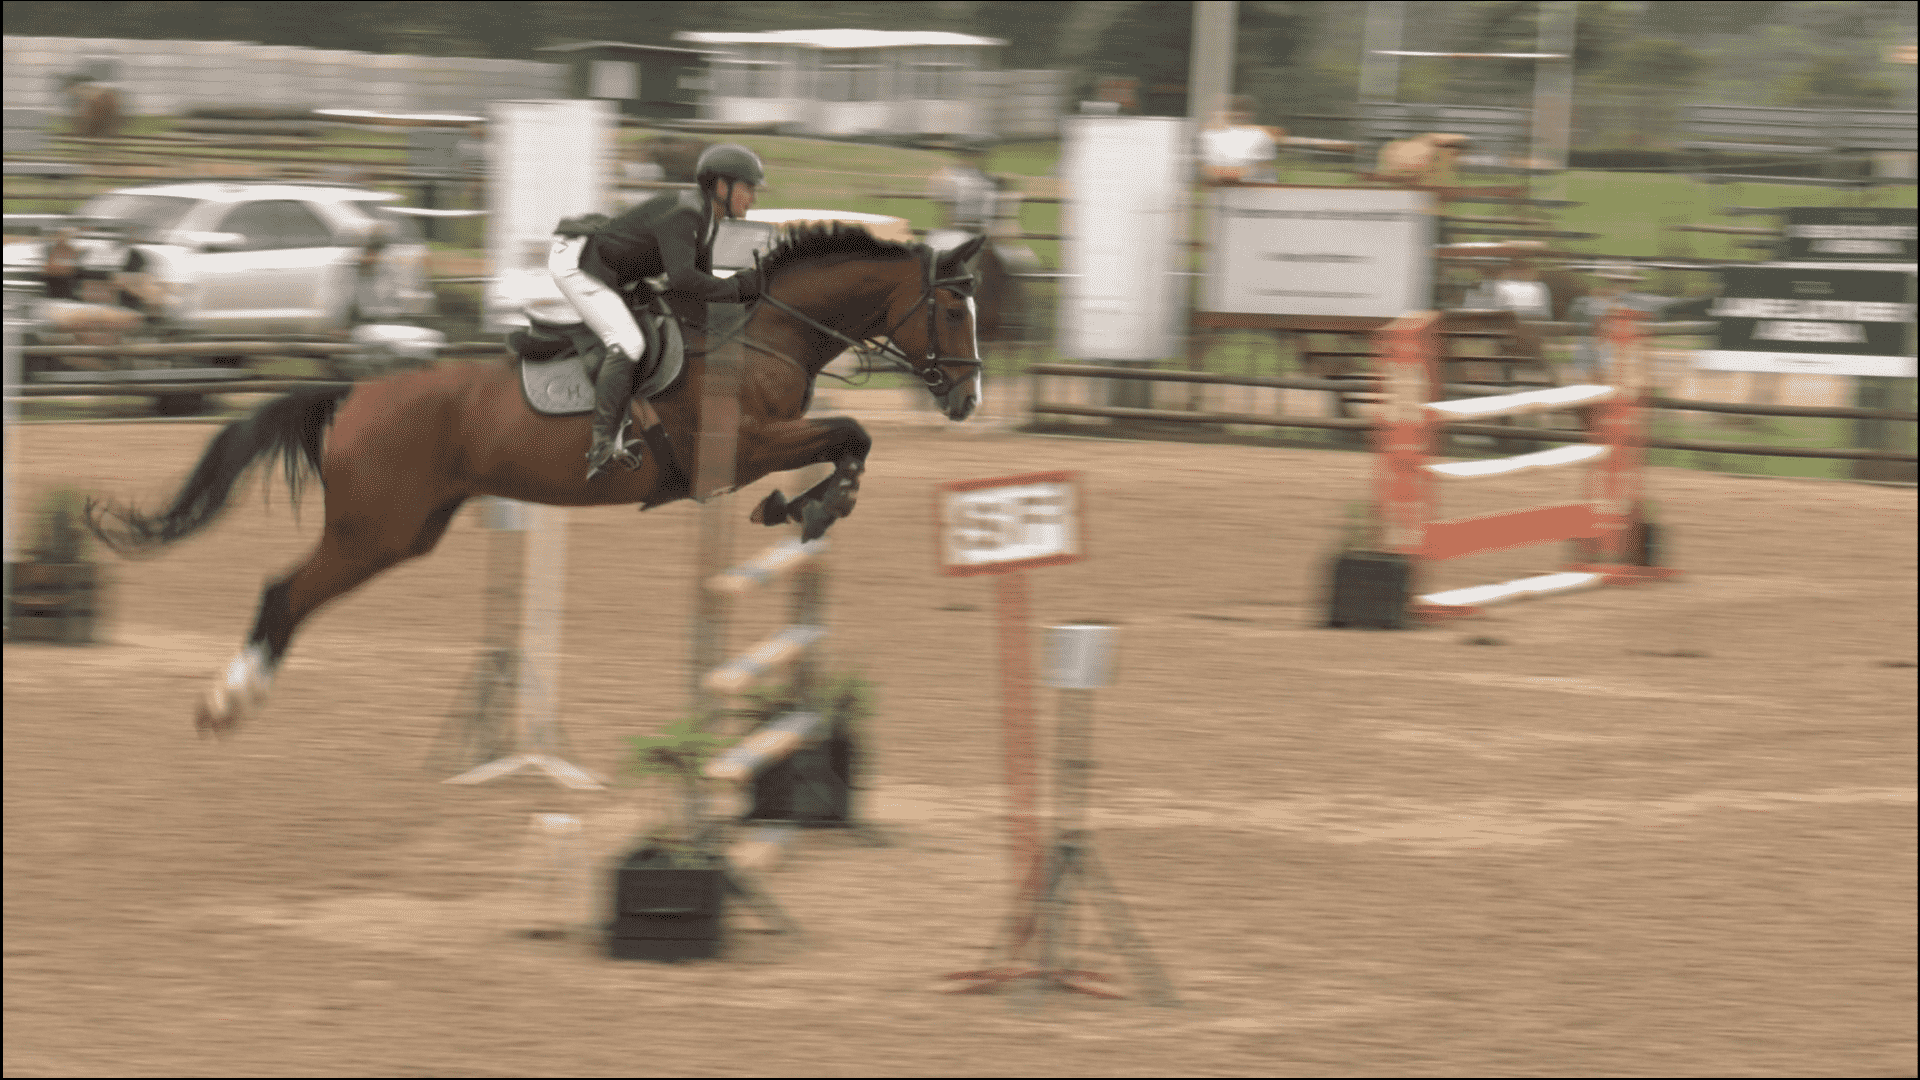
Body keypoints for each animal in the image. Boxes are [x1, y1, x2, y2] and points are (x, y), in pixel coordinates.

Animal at [86, 226, 989, 738]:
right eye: (953, 311)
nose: (968, 399)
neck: (765, 330)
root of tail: (356, 394)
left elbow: (848, 442)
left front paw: (805, 506)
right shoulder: (741, 447)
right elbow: (850, 433)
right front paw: (807, 505)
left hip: (408, 532)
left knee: (294, 594)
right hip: (374, 531)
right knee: (284, 593)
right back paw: (227, 703)